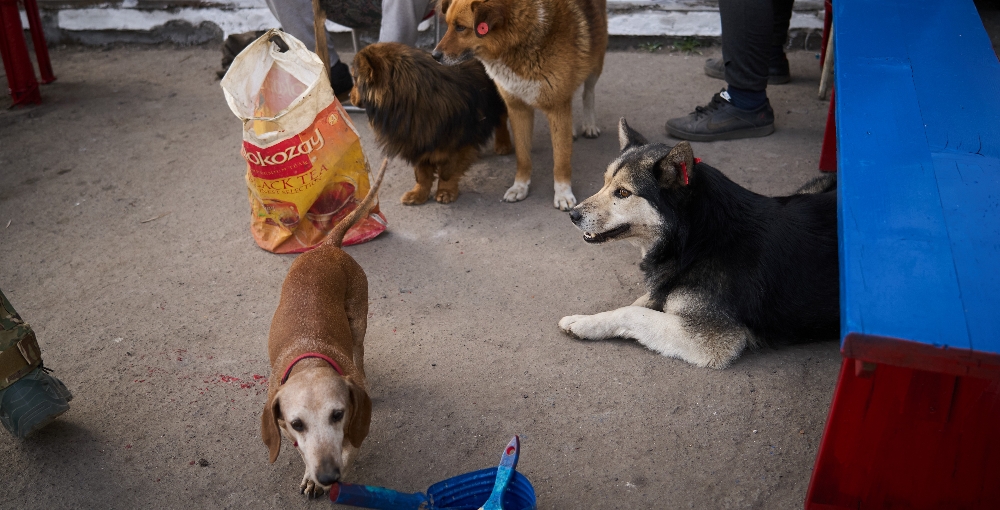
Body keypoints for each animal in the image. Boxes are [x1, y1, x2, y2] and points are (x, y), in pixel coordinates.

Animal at [262, 157, 386, 496]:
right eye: (297, 424)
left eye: (337, 414)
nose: (328, 476)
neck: (310, 358)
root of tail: (326, 246)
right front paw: (309, 473)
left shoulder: (353, 426)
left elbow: (349, 448)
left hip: (358, 322)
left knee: (359, 351)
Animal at [350, 42, 508, 205]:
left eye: (355, 79)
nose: (349, 96)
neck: (412, 99)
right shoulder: (418, 142)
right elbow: (422, 174)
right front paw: (419, 194)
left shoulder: (457, 143)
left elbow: (447, 172)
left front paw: (445, 191)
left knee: (502, 121)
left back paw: (503, 144)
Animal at [432, 0, 604, 211]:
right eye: (448, 25)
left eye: (460, 27)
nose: (434, 55)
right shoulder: (518, 108)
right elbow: (522, 156)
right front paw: (520, 187)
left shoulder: (557, 107)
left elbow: (561, 159)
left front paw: (563, 193)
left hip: (596, 58)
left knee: (588, 92)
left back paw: (589, 124)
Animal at [564, 117, 836, 368]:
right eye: (605, 182)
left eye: (622, 193)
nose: (572, 215)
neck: (695, 241)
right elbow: (640, 303)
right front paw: (589, 320)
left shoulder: (710, 338)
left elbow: (632, 313)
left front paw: (585, 322)